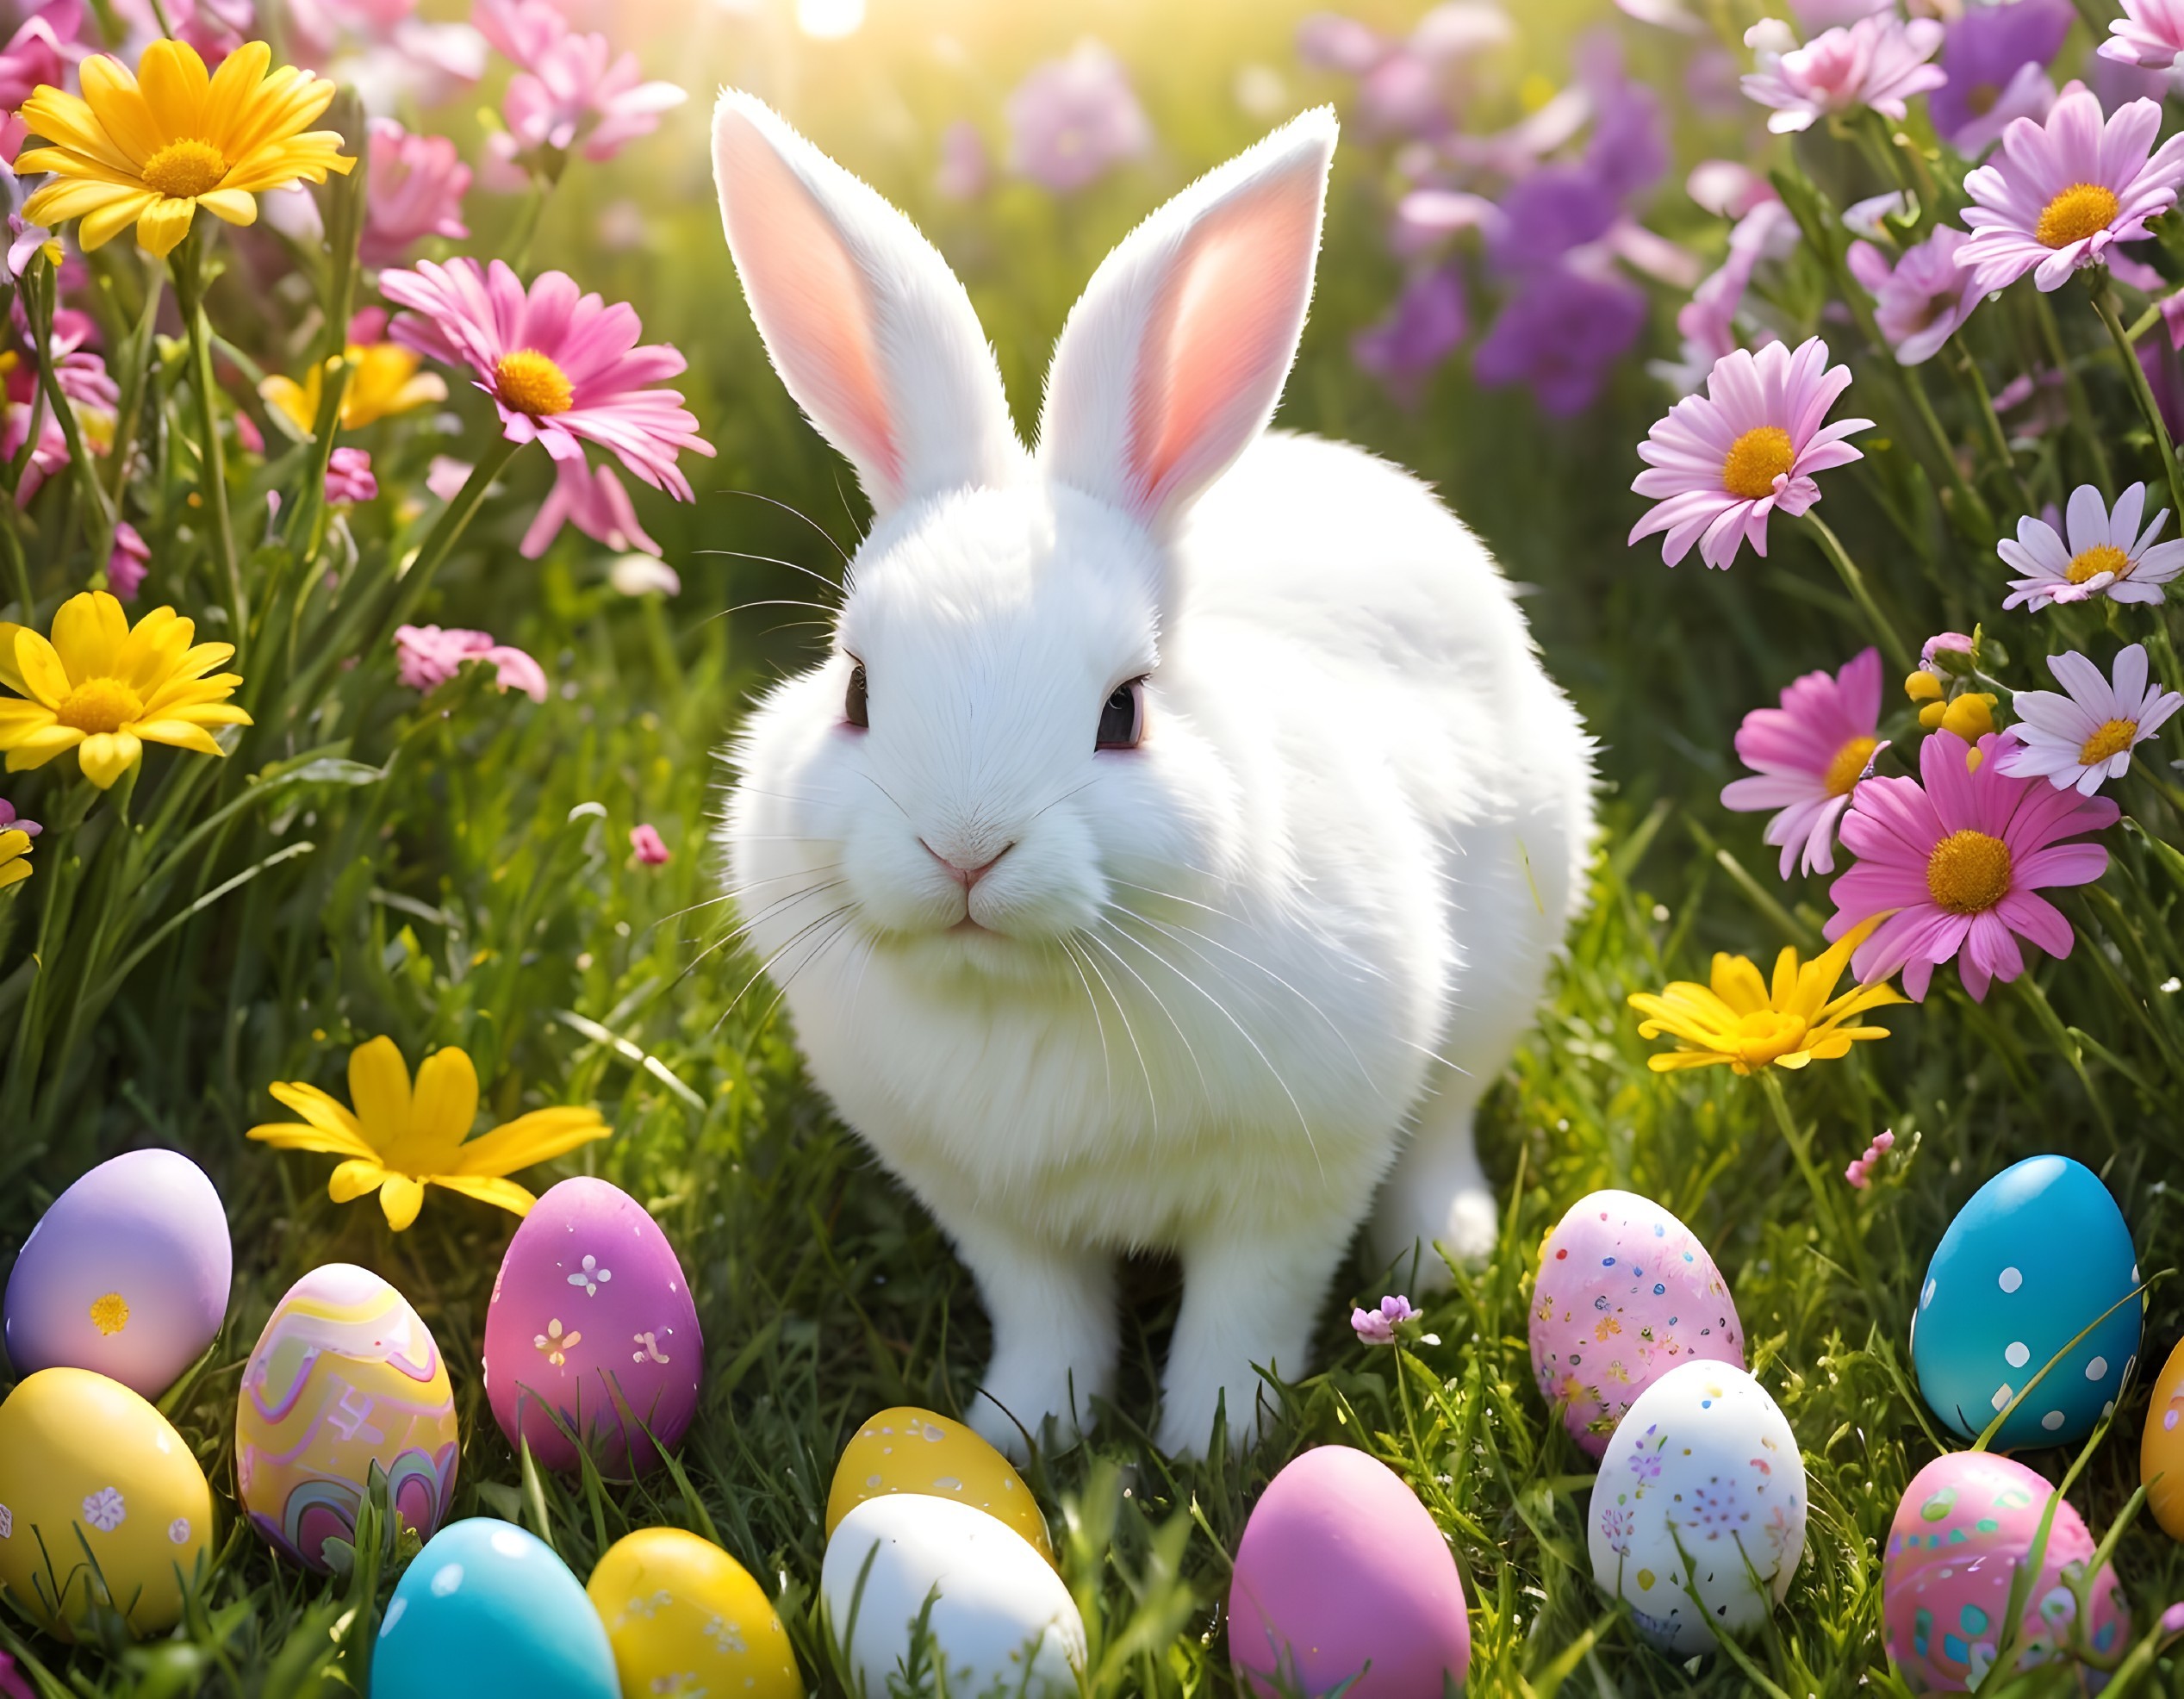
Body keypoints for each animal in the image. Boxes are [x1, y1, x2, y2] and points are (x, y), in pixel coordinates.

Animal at [709, 91, 1595, 1460]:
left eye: (1122, 712)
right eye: (856, 688)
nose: (964, 850)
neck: (1023, 991)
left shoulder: (1293, 1179)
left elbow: (1247, 1310)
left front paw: (1213, 1445)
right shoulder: (991, 1212)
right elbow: (1049, 1315)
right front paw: (1018, 1432)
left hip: (1501, 968)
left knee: (1445, 1122)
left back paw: (1441, 1249)